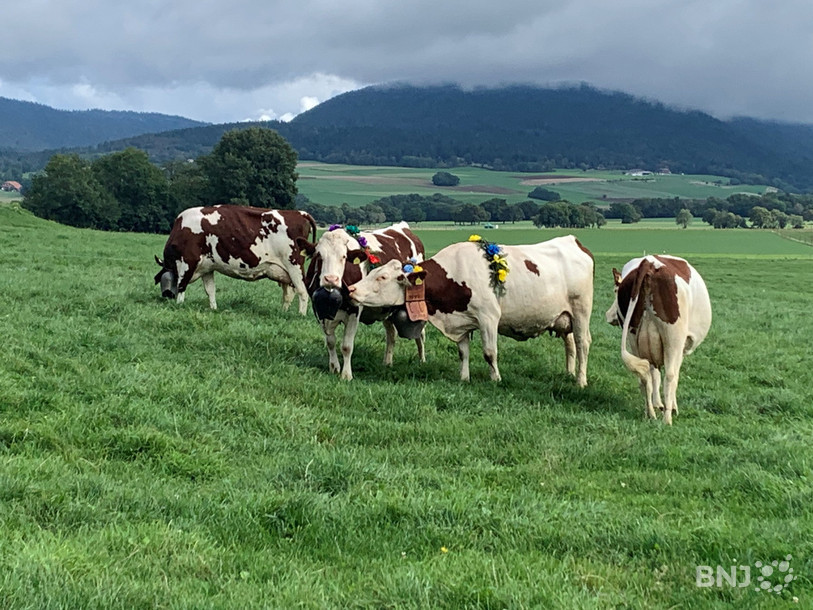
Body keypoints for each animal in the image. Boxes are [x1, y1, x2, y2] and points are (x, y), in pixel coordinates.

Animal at [154, 205, 316, 315]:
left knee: (302, 291)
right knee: (288, 293)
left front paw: (179, 305)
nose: (165, 297)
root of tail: (300, 213)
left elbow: (181, 285)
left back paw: (300, 315)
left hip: (294, 265)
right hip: (284, 272)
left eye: (162, 281)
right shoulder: (207, 267)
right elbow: (210, 290)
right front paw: (214, 308)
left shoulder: (188, 261)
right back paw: (283, 312)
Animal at [296, 222, 425, 380]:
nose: (331, 279)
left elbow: (346, 346)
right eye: (319, 256)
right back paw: (387, 362)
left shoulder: (355, 310)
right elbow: (330, 342)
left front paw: (346, 375)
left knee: (420, 334)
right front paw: (334, 368)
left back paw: (422, 360)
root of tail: (402, 226)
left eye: (344, 256)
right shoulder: (319, 313)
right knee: (391, 334)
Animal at [347, 235, 594, 385]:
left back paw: (580, 381)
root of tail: (573, 241)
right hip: (564, 318)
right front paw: (464, 378)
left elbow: (489, 352)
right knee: (570, 344)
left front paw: (496, 379)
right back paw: (569, 373)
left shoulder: (489, 317)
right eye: (371, 272)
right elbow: (463, 352)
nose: (351, 289)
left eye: (382, 277)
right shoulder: (461, 322)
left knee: (582, 343)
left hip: (581, 311)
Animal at [605, 255, 712, 425]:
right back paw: (667, 419)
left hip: (633, 337)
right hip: (673, 337)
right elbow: (673, 374)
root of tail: (649, 262)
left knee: (645, 376)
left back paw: (650, 413)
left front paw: (658, 405)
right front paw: (671, 407)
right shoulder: (681, 347)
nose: (609, 316)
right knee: (670, 375)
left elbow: (655, 376)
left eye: (615, 291)